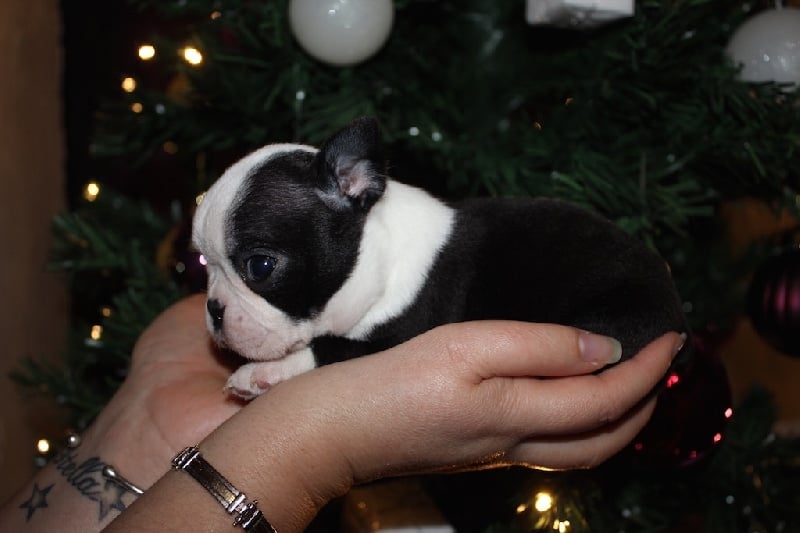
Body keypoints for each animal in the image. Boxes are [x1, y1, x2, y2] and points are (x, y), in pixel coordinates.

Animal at [192, 117, 691, 399]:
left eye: (260, 267)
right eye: (203, 265)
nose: (213, 310)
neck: (375, 260)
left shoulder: (398, 337)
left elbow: (327, 349)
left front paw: (262, 373)